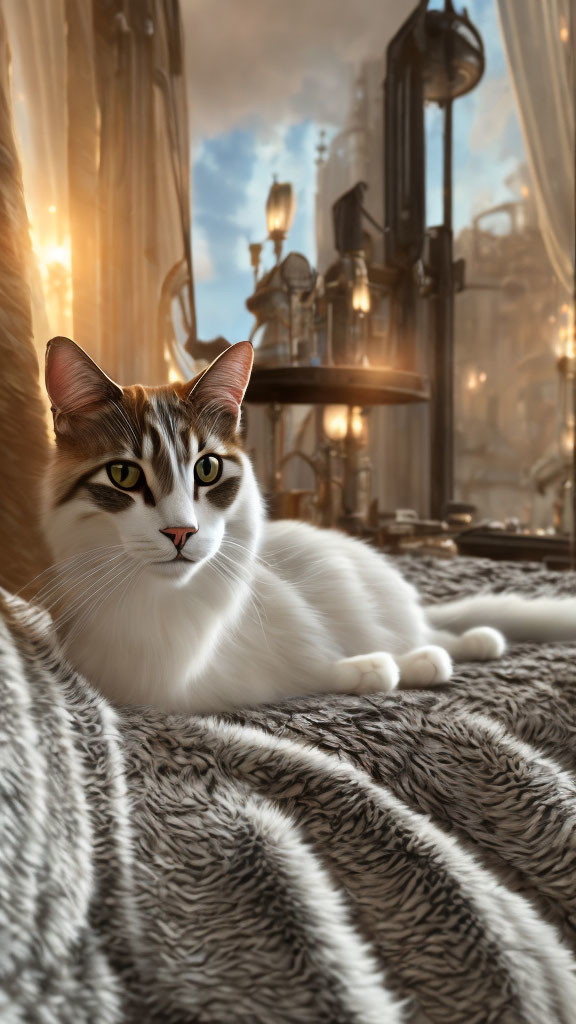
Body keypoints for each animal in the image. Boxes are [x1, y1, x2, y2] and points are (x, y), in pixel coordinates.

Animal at [40, 335, 573, 712]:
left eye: (207, 469)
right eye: (124, 475)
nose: (181, 533)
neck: (164, 607)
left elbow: (319, 664)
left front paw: (383, 667)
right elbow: (315, 673)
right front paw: (376, 669)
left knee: (436, 636)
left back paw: (468, 644)